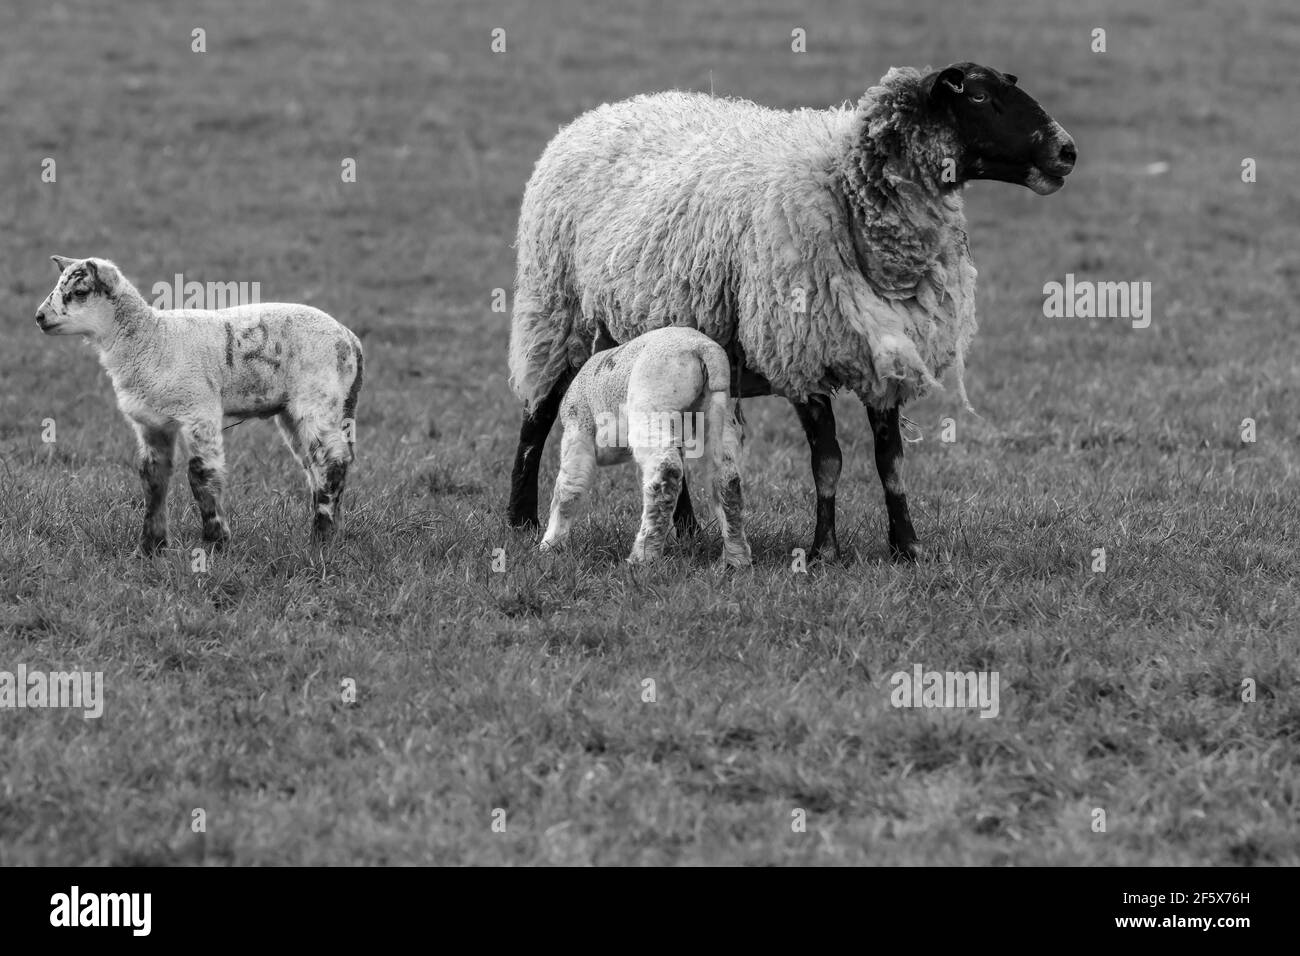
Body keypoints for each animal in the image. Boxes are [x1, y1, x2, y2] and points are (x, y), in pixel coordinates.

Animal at [36, 257, 361, 554]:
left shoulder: (199, 409)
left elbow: (201, 474)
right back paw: (332, 531)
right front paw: (150, 547)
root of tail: (350, 338)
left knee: (332, 462)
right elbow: (152, 478)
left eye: (79, 292)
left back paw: (321, 539)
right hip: (296, 411)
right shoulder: (151, 423)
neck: (152, 339)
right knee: (315, 465)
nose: (39, 316)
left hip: (319, 399)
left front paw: (216, 541)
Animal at [540, 329, 754, 567]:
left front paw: (550, 546)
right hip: (719, 410)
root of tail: (704, 349)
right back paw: (736, 557)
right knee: (726, 478)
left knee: (666, 472)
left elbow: (568, 489)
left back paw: (643, 556)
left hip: (653, 404)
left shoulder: (578, 428)